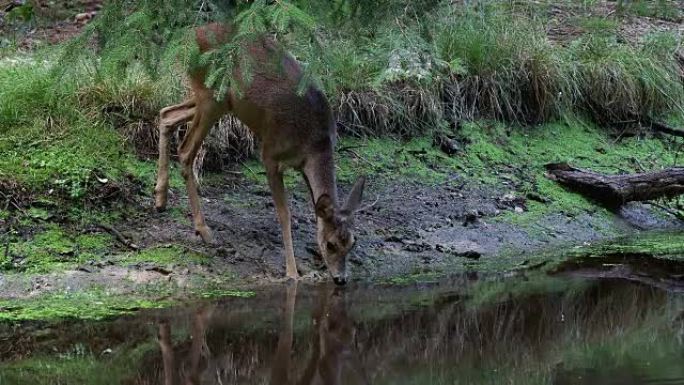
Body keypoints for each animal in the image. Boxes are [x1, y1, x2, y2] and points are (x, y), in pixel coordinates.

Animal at [153, 22, 366, 284]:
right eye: (330, 244)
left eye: (353, 243)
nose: (340, 279)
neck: (315, 142)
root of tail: (193, 33)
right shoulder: (270, 153)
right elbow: (284, 214)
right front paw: (292, 272)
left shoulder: (303, 164)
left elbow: (314, 208)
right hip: (212, 95)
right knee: (185, 151)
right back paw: (203, 229)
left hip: (215, 99)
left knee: (167, 114)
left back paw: (160, 198)